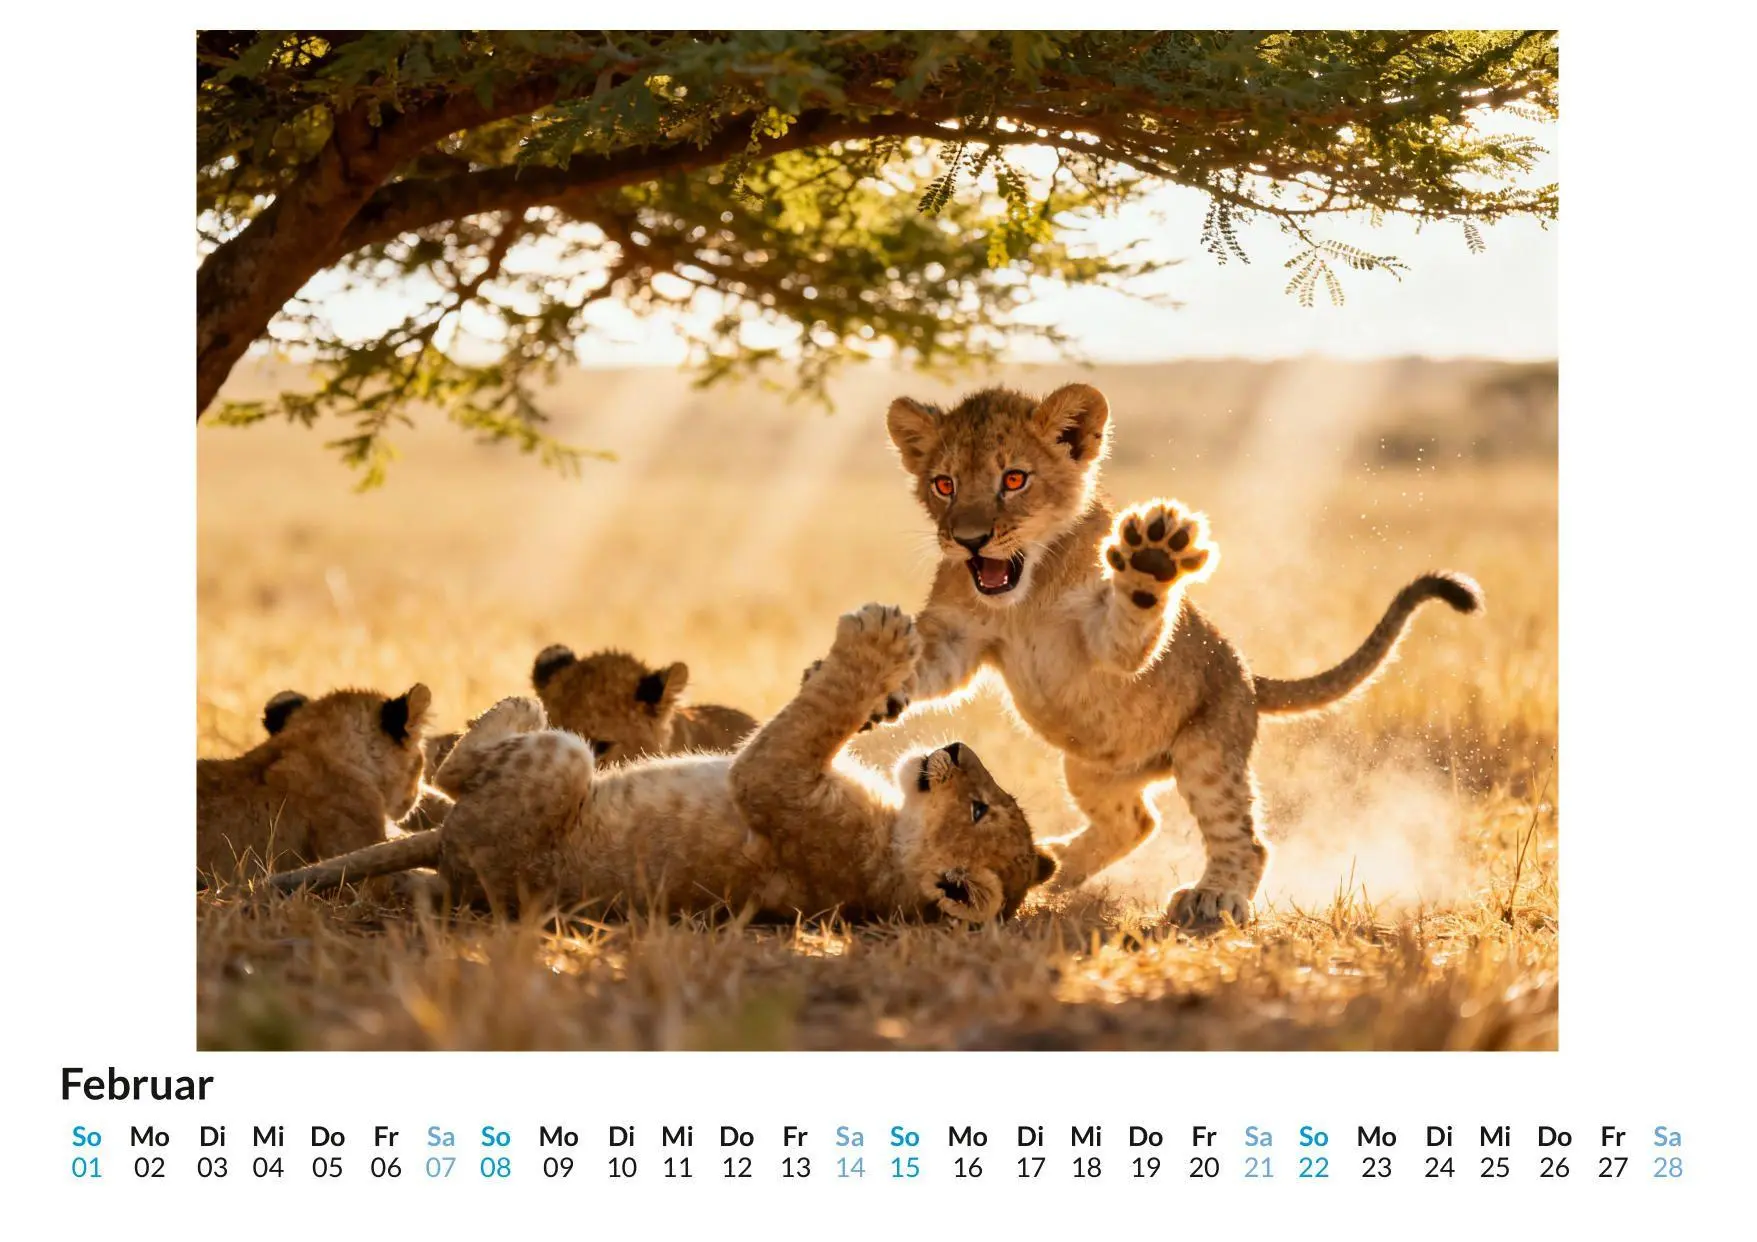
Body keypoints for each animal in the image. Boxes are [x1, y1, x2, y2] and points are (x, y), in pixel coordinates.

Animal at [270, 606, 1056, 924]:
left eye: (979, 808)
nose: (955, 751)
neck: (891, 851)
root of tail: (451, 851)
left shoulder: (775, 785)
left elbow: (815, 718)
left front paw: (877, 638)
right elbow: (825, 708)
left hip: (555, 765)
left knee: (457, 773)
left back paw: (510, 709)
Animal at [882, 382, 1483, 928]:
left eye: (1014, 479)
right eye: (943, 484)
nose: (969, 540)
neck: (1024, 592)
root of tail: (1248, 676)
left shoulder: (1109, 644)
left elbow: (1133, 622)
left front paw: (1151, 560)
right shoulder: (959, 637)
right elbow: (925, 666)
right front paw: (873, 672)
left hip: (1206, 749)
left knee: (1244, 839)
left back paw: (1213, 897)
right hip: (1090, 768)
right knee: (1137, 821)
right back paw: (1053, 864)